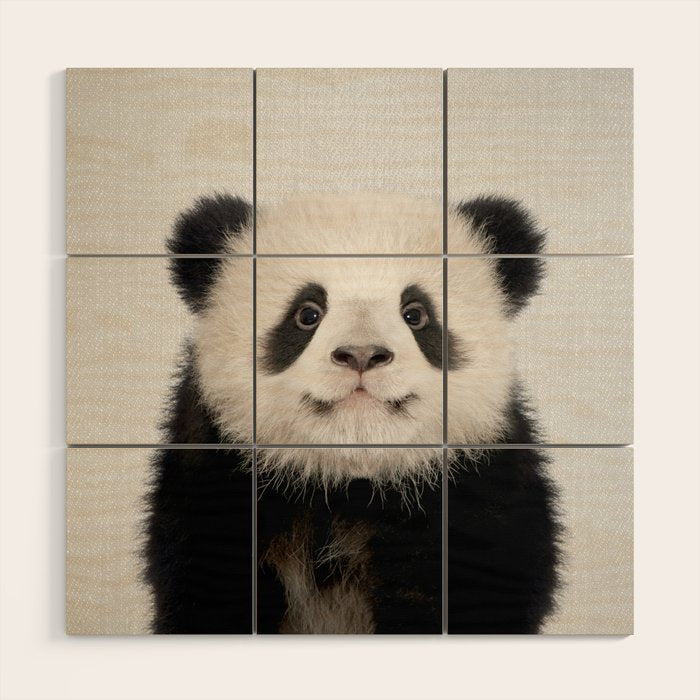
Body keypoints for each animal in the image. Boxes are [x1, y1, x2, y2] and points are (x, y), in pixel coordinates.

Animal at [144, 192, 561, 634]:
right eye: (307, 313)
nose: (362, 354)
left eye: (415, 314)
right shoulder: (215, 478)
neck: (347, 479)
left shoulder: (476, 487)